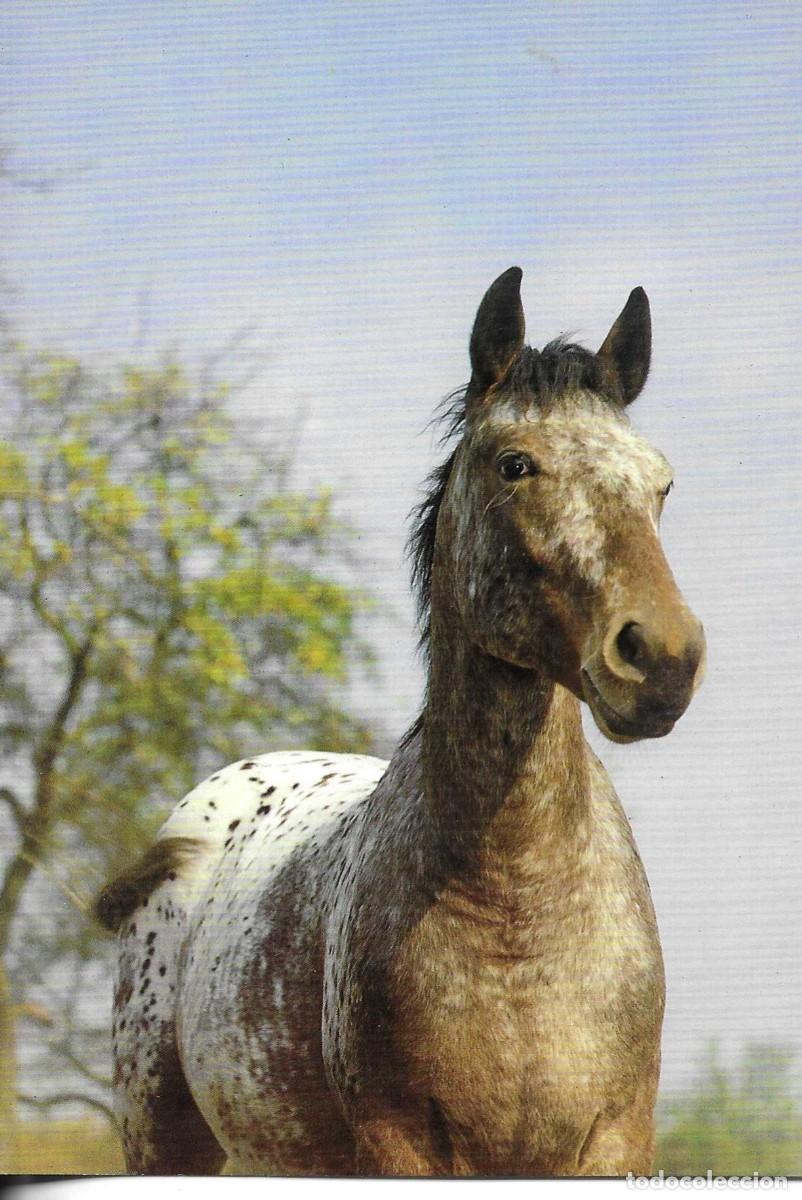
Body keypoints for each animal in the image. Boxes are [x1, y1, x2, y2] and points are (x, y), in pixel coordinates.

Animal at [95, 267, 706, 1177]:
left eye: (660, 481)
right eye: (514, 464)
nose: (662, 657)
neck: (517, 917)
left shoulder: (615, 1140)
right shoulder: (403, 1142)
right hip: (162, 1137)